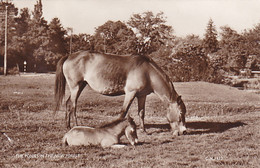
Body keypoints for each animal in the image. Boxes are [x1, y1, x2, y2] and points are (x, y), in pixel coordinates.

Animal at [54, 50, 187, 135]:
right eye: (181, 113)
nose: (184, 131)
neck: (147, 72)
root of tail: (69, 56)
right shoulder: (130, 93)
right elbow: (123, 112)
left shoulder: (141, 96)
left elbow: (141, 113)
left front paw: (144, 130)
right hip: (75, 87)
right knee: (73, 106)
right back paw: (76, 126)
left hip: (81, 85)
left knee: (68, 104)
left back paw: (68, 126)